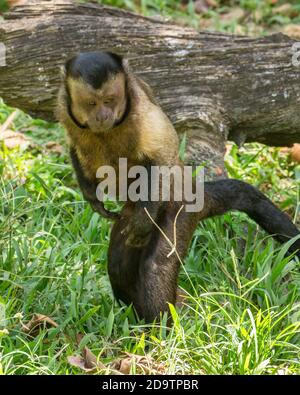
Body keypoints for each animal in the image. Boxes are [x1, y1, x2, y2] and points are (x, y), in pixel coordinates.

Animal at [57, 51, 300, 324]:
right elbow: (73, 147)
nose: (102, 116)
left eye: (109, 100)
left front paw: (142, 222)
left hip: (180, 209)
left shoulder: (143, 113)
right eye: (91, 103)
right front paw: (92, 197)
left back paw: (162, 330)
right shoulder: (64, 109)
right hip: (128, 213)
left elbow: (161, 158)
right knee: (118, 266)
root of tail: (193, 188)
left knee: (156, 264)